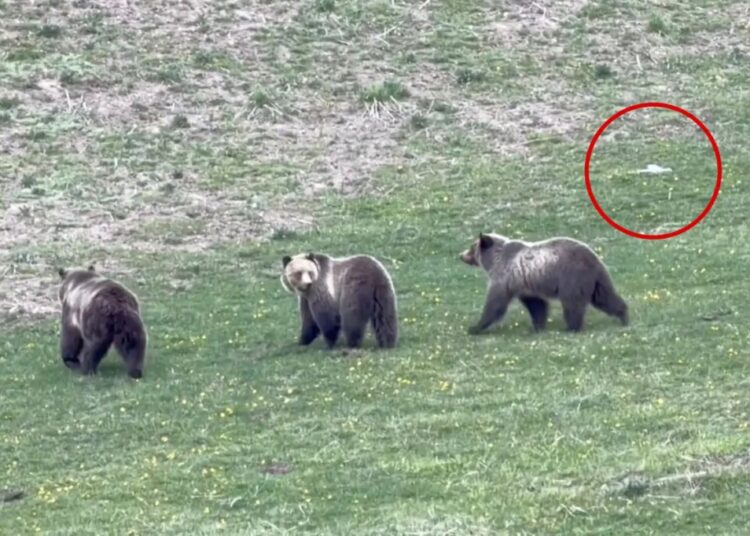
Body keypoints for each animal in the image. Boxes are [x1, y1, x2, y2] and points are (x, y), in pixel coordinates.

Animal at [459, 233, 628, 333]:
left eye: (471, 247)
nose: (461, 255)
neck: (495, 260)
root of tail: (594, 258)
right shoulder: (524, 285)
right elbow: (536, 305)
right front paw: (538, 326)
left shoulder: (504, 278)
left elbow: (495, 303)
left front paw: (475, 327)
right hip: (597, 281)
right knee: (605, 298)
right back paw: (624, 316)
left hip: (571, 277)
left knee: (572, 304)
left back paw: (571, 327)